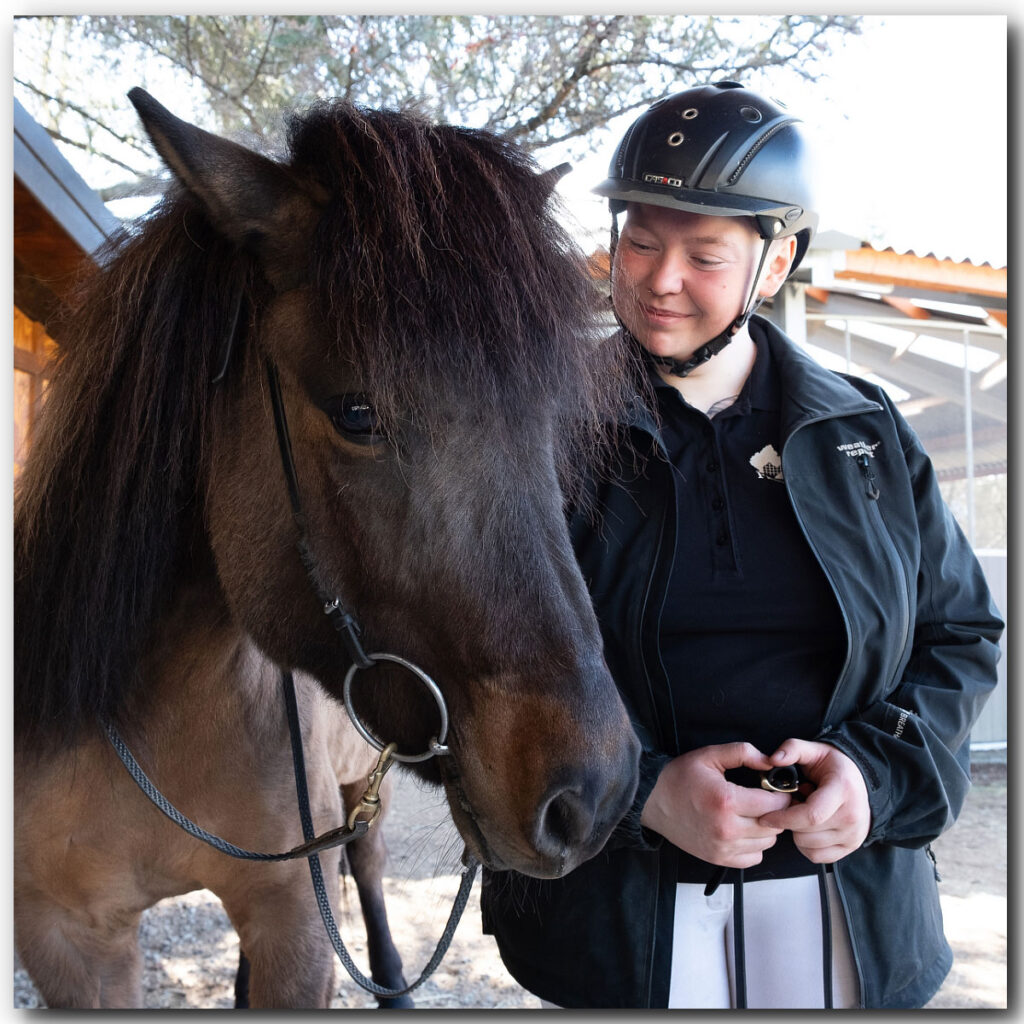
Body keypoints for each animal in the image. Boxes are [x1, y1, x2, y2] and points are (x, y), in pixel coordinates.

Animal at [13, 89, 641, 1009]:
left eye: (551, 417)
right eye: (357, 414)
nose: (593, 795)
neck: (149, 719)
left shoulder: (296, 919)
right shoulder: (70, 944)